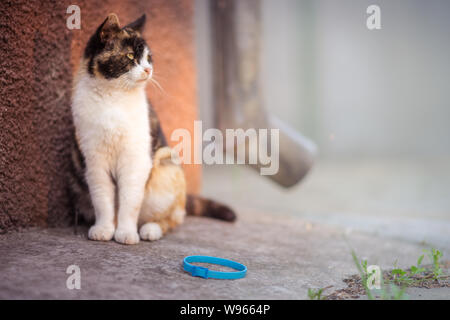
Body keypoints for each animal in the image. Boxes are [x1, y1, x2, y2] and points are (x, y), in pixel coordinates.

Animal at [70, 12, 236, 244]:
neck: (113, 99)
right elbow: (103, 199)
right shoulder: (94, 160)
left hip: (166, 167)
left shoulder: (136, 159)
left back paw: (150, 229)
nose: (148, 69)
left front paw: (126, 233)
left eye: (149, 58)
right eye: (130, 56)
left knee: (174, 217)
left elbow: (130, 201)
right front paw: (104, 229)